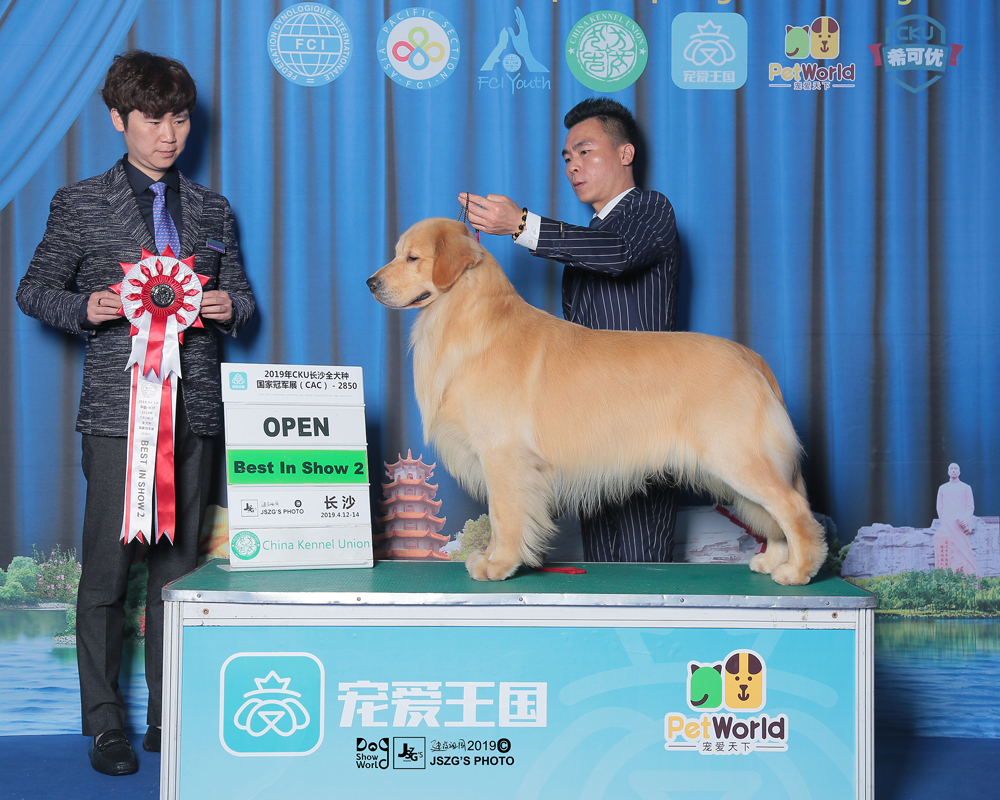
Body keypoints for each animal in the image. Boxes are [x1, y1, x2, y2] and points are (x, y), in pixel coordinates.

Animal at [367, 218, 827, 585]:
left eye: (412, 258)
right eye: (396, 254)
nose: (370, 283)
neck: (464, 314)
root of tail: (748, 357)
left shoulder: (503, 456)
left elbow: (504, 516)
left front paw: (499, 564)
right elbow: (499, 519)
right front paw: (492, 557)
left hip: (738, 457)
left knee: (795, 508)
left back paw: (798, 570)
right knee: (775, 515)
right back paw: (774, 562)